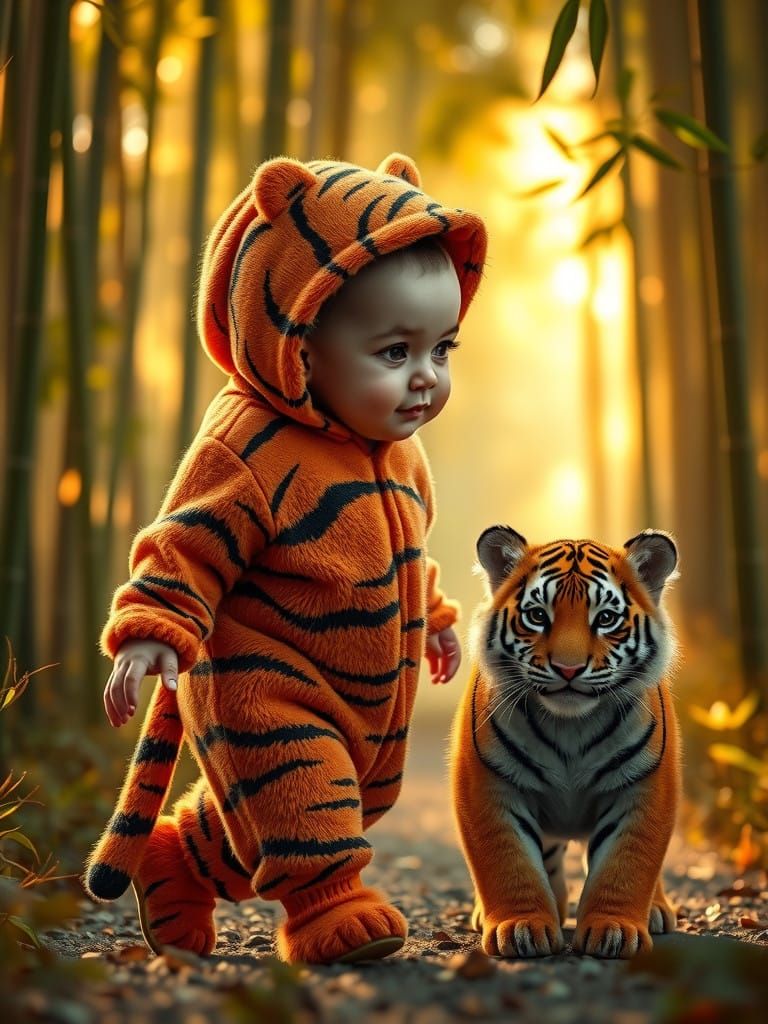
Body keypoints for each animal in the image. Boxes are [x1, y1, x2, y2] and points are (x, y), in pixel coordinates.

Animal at [450, 526, 681, 959]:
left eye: (605, 618)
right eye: (538, 616)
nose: (568, 669)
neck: (570, 726)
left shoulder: (645, 786)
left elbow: (625, 863)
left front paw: (613, 930)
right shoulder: (487, 784)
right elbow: (510, 862)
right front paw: (522, 927)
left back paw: (656, 910)